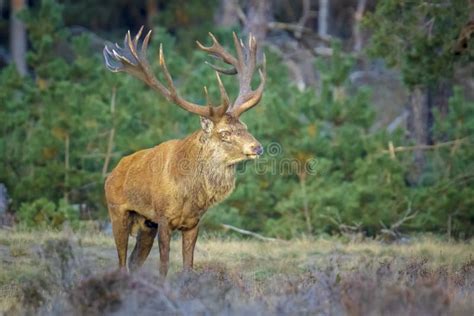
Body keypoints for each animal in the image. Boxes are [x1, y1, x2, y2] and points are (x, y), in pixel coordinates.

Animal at [103, 26, 264, 274]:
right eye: (224, 133)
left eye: (245, 127)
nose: (258, 147)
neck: (189, 194)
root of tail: (112, 174)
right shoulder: (163, 218)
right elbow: (164, 267)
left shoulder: (193, 224)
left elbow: (188, 267)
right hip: (117, 213)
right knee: (121, 264)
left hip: (146, 224)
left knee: (133, 262)